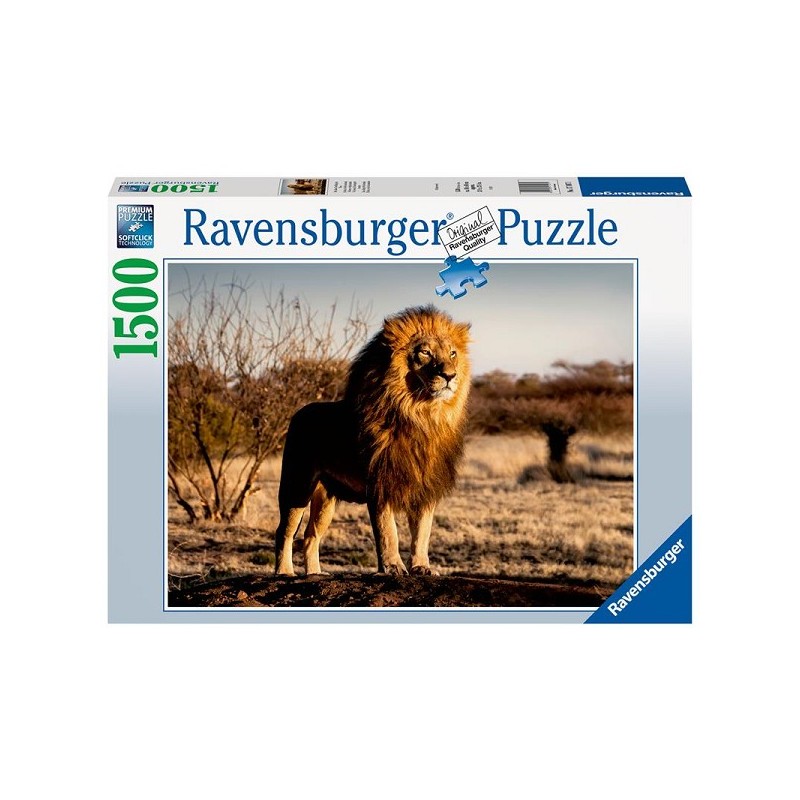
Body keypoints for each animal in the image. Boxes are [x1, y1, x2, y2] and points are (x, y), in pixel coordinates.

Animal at [274, 304, 471, 576]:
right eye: (425, 352)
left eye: (452, 353)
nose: (450, 375)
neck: (422, 416)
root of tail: (299, 412)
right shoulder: (380, 483)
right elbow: (388, 532)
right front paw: (392, 567)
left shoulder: (425, 486)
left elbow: (422, 532)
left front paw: (421, 566)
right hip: (297, 485)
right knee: (285, 531)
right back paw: (284, 572)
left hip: (325, 499)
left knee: (310, 536)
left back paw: (315, 573)